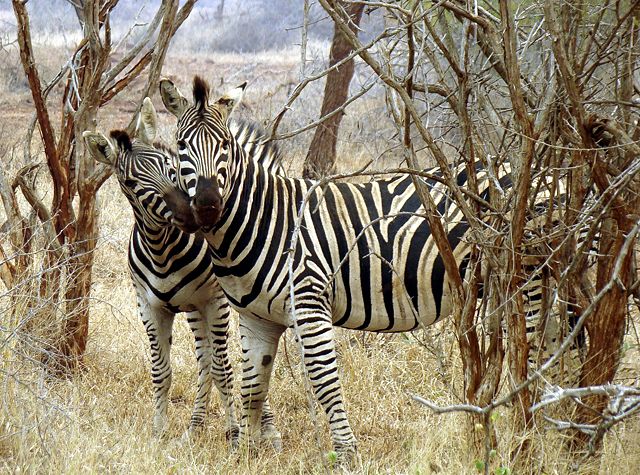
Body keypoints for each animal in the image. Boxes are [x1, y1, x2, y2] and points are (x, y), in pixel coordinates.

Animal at [83, 97, 283, 445]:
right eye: (130, 184)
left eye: (169, 165)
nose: (191, 215)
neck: (162, 250)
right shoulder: (150, 307)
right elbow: (162, 371)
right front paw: (159, 430)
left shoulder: (215, 301)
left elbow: (224, 368)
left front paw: (234, 431)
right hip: (192, 308)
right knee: (206, 358)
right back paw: (195, 426)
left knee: (241, 359)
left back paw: (266, 427)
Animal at [158, 76, 587, 459]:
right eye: (180, 146)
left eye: (225, 146)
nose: (209, 206)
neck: (264, 220)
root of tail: (543, 173)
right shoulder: (256, 316)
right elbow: (253, 388)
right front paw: (246, 454)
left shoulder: (310, 300)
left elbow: (324, 381)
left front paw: (346, 453)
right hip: (547, 282)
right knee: (557, 350)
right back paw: (559, 433)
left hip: (527, 276)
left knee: (536, 354)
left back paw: (537, 433)